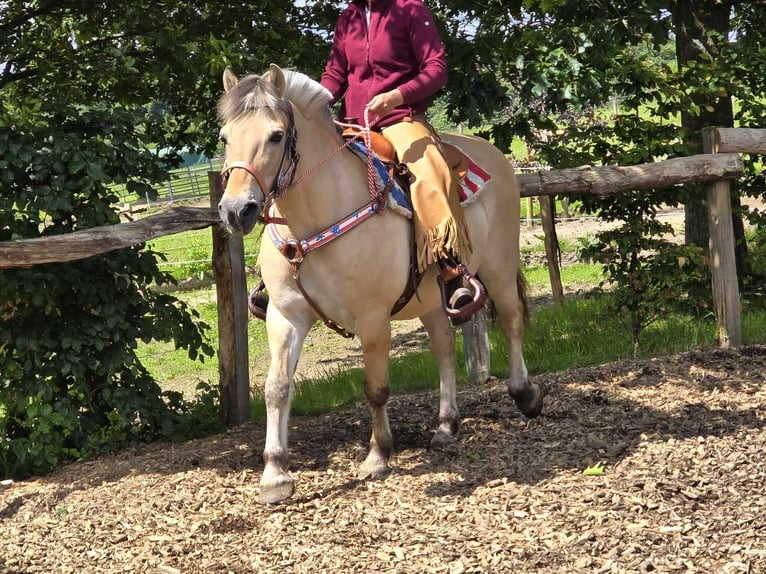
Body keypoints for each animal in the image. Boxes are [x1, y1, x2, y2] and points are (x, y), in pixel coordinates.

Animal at [213, 63, 544, 504]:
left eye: (276, 135)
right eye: (225, 137)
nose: (237, 210)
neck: (314, 223)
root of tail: (488, 151)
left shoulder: (372, 320)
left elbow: (376, 387)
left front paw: (377, 454)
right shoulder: (284, 318)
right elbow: (277, 388)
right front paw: (275, 474)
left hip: (500, 266)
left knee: (511, 321)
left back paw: (525, 394)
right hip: (432, 299)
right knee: (444, 349)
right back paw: (446, 426)